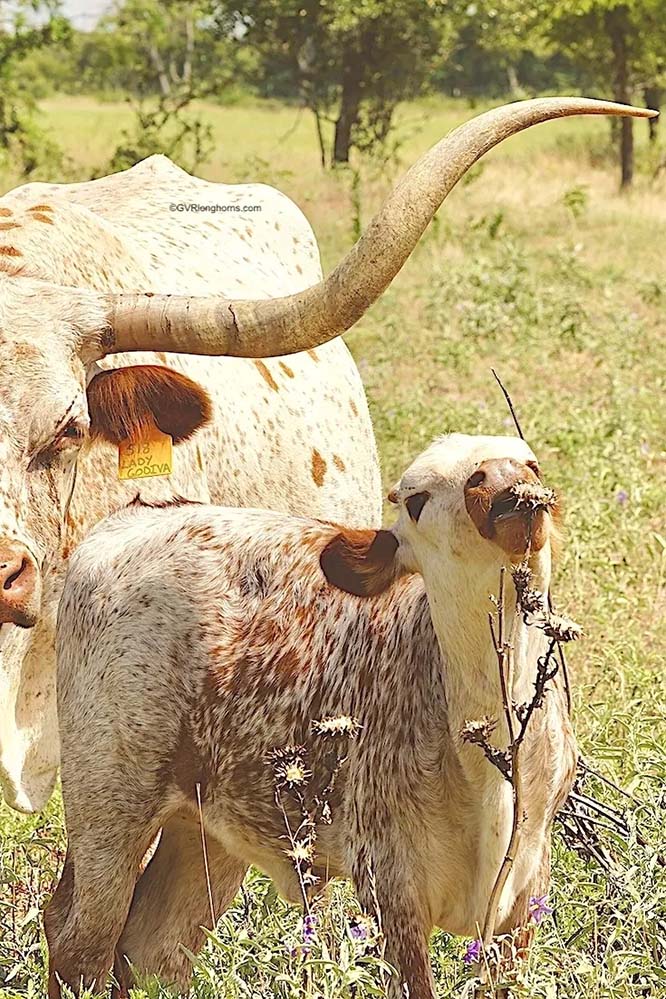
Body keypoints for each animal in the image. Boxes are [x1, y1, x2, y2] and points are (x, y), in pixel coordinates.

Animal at [48, 434, 576, 996]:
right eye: (417, 500)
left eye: (529, 463)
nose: (502, 481)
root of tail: (136, 516)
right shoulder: (390, 887)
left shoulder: (525, 891)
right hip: (108, 809)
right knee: (80, 946)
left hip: (209, 828)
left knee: (153, 949)